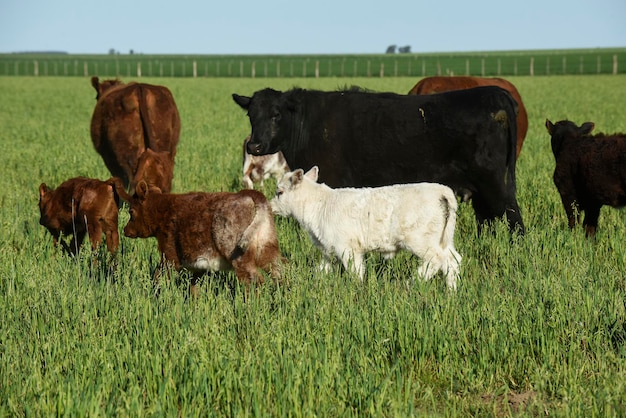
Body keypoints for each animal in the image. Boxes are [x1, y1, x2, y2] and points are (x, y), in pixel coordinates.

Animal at [116, 181, 282, 296]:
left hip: (238, 255)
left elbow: (158, 277)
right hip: (267, 249)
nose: (125, 230)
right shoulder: (200, 266)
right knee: (280, 272)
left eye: (131, 211)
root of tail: (249, 195)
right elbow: (194, 287)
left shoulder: (169, 256)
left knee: (254, 280)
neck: (163, 209)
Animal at [233, 86, 520, 235]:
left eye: (276, 114)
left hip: (494, 184)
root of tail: (494, 92)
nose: (254, 145)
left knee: (514, 219)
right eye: (251, 115)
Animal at [270, 165, 460, 290]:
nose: (270, 206)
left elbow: (356, 272)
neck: (320, 205)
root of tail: (441, 191)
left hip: (420, 240)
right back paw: (452, 292)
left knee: (436, 260)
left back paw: (409, 284)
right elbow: (322, 270)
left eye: (280, 192)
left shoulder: (347, 248)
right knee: (453, 260)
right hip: (443, 240)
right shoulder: (329, 251)